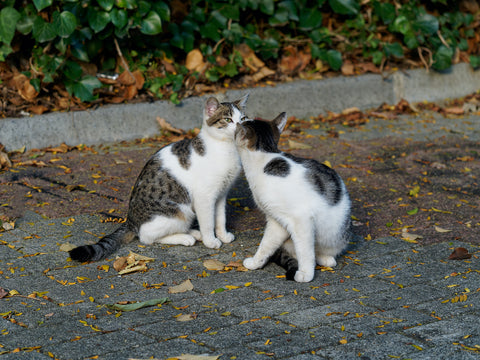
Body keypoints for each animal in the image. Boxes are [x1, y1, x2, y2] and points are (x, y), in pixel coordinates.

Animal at [72, 95, 251, 262]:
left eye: (243, 119)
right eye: (228, 120)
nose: (240, 127)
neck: (226, 149)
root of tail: (131, 221)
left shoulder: (221, 194)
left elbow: (220, 218)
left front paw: (223, 235)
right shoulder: (204, 197)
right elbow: (208, 222)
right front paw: (210, 241)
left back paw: (193, 232)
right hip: (179, 211)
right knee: (146, 237)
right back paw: (186, 237)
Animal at [236, 112, 352, 282]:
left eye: (243, 121)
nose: (241, 118)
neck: (266, 156)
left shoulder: (301, 219)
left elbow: (305, 250)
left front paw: (305, 273)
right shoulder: (276, 220)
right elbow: (266, 244)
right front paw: (256, 262)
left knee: (316, 251)